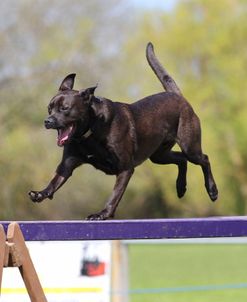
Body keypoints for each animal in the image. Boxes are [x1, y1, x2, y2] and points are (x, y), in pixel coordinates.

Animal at [29, 43, 218, 219]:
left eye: (65, 108)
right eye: (49, 109)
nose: (47, 121)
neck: (91, 131)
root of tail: (179, 97)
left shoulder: (125, 168)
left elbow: (114, 195)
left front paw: (103, 214)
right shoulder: (67, 164)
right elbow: (55, 181)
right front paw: (40, 193)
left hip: (189, 146)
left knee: (204, 159)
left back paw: (212, 191)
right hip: (158, 155)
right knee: (181, 160)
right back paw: (180, 187)